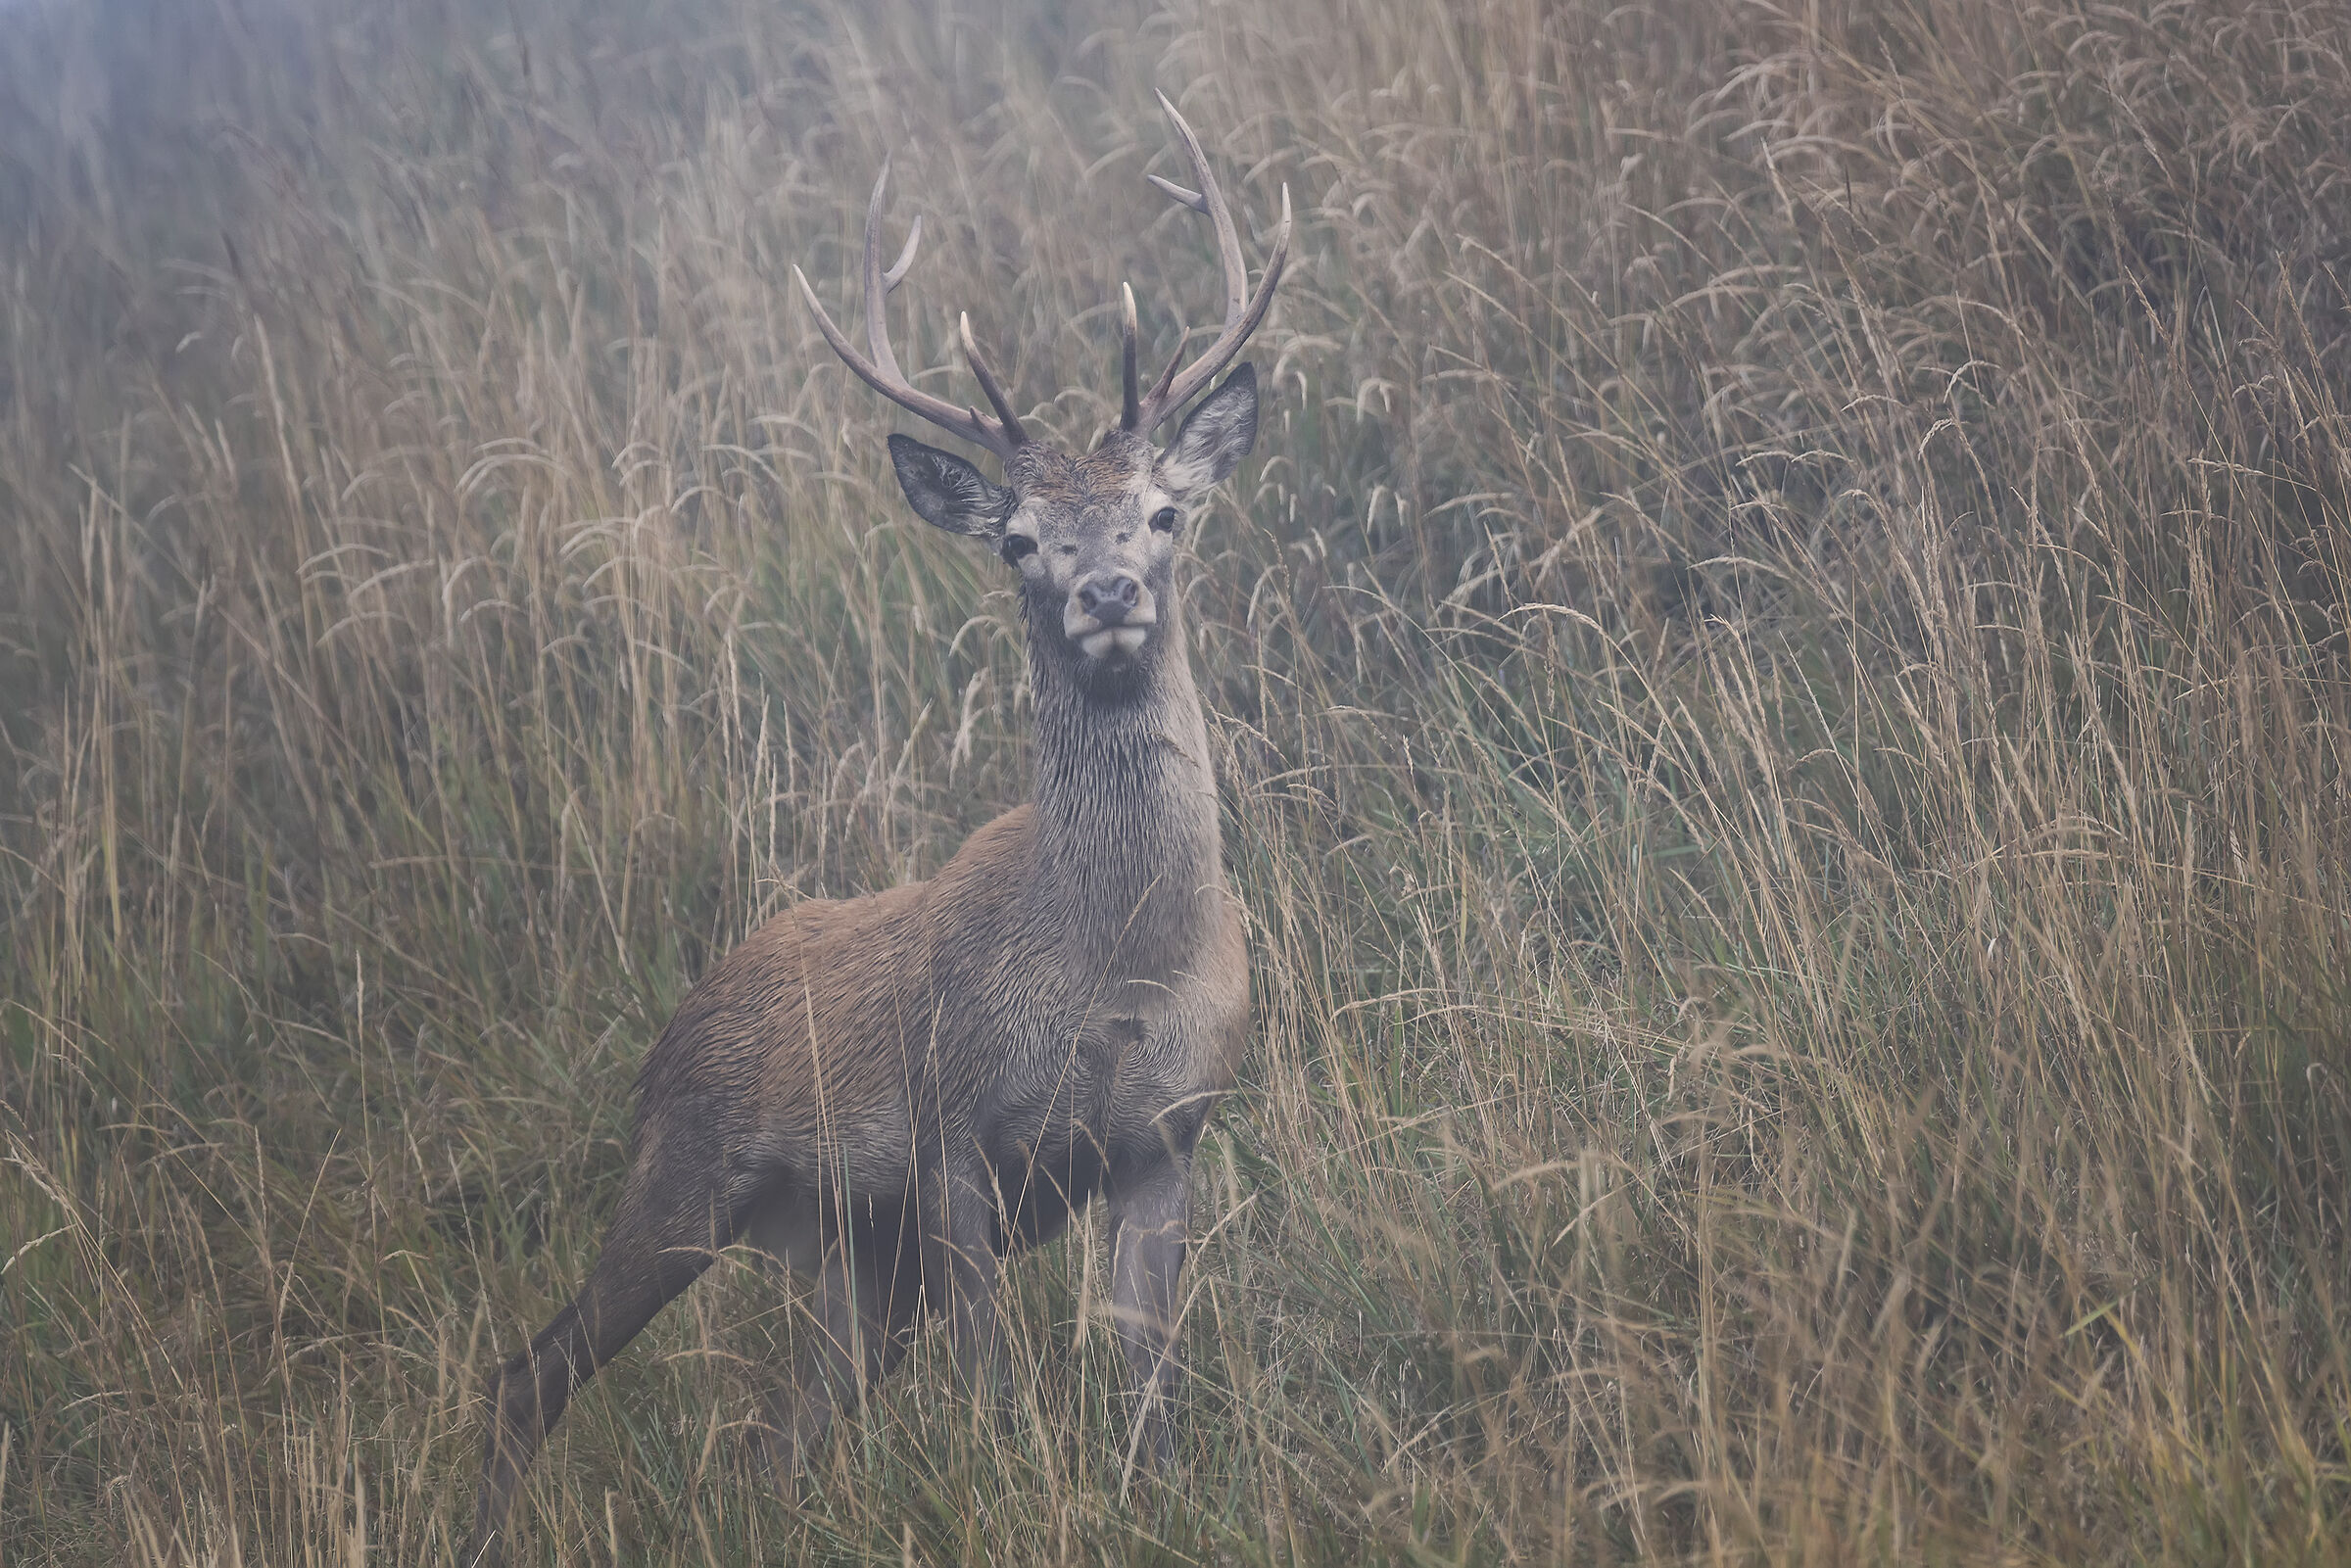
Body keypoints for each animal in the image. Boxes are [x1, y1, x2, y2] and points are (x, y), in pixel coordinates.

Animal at [462, 93, 1288, 1567]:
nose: (1109, 590)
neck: (1119, 969)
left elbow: (1151, 1380)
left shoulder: (1167, 1132)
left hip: (851, 1255)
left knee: (771, 1442)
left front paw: (1162, 1500)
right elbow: (994, 1385)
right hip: (682, 1173)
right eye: (1016, 538)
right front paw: (1019, 1496)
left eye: (1164, 509)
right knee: (533, 1371)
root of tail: (676, 1018)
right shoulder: (953, 1130)